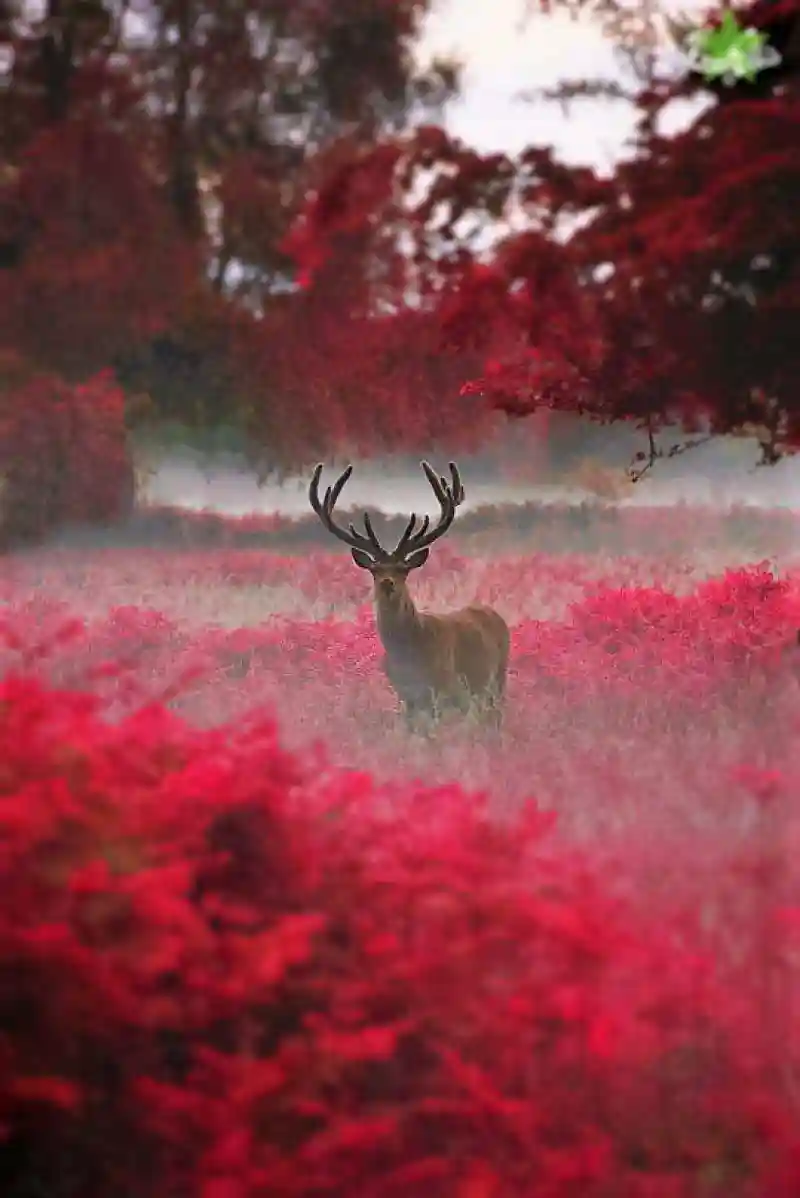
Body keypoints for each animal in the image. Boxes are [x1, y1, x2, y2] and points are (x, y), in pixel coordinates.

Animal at [308, 462, 510, 733]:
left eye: (403, 569)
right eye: (375, 570)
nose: (387, 582)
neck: (409, 651)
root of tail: (494, 614)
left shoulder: (444, 688)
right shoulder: (406, 696)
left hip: (496, 678)